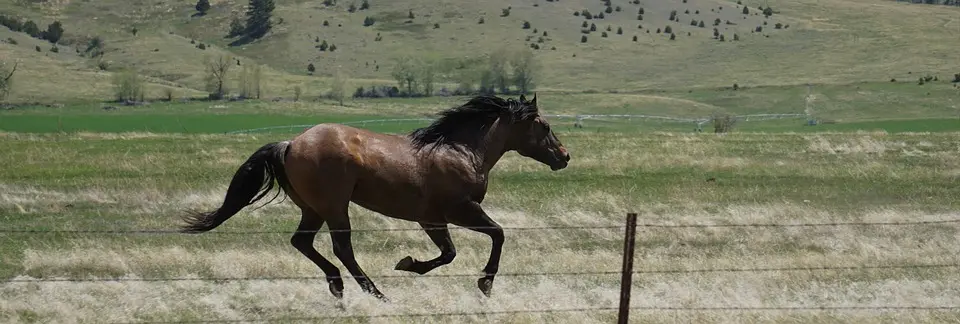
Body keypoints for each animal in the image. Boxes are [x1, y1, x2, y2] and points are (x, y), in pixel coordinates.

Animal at [180, 93, 568, 302]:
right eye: (546, 126)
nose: (564, 157)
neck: (460, 150)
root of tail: (290, 144)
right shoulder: (460, 210)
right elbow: (496, 235)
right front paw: (484, 284)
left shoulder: (431, 218)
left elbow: (449, 253)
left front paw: (409, 263)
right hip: (335, 207)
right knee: (342, 248)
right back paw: (375, 293)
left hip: (313, 208)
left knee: (302, 243)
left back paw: (337, 286)